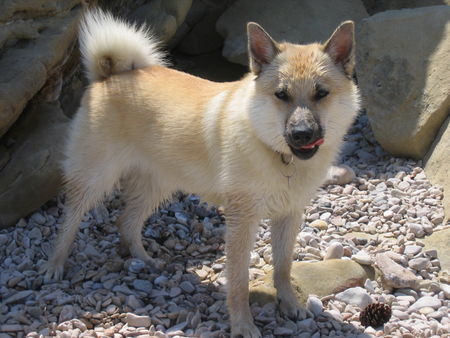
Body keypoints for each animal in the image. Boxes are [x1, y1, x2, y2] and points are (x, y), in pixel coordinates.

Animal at [44, 9, 360, 336]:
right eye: (281, 95)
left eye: (321, 93)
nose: (301, 134)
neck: (279, 155)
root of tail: (109, 76)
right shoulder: (241, 223)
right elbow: (239, 282)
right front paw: (243, 324)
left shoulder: (289, 215)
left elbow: (283, 268)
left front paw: (290, 305)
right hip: (95, 179)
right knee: (70, 221)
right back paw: (54, 265)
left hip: (157, 185)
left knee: (126, 222)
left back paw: (145, 260)